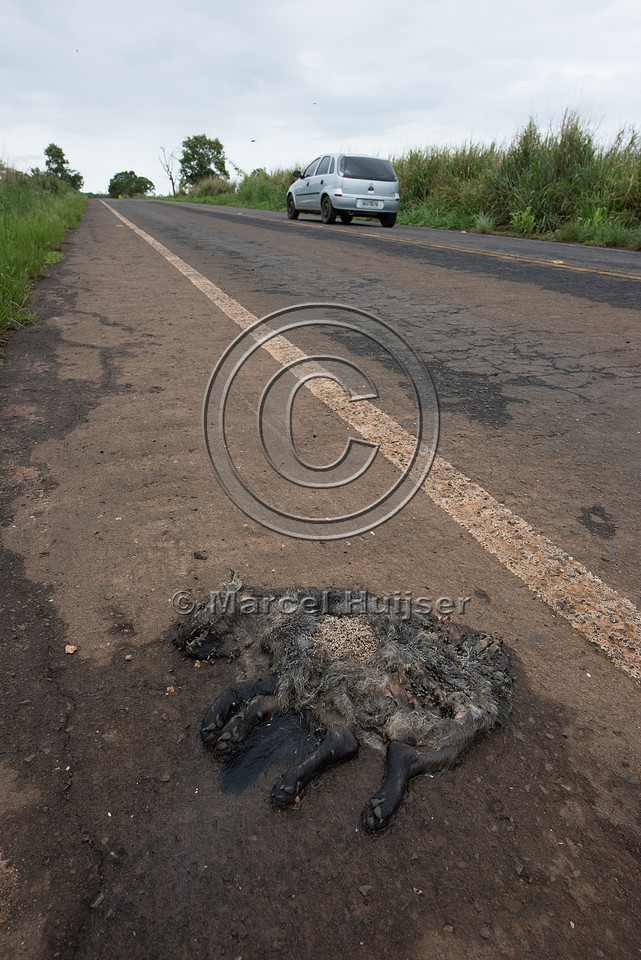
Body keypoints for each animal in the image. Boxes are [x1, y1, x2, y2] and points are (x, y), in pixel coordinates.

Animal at [173, 574, 511, 832]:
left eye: (201, 605)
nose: (176, 635)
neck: (264, 620)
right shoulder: (300, 677)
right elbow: (262, 701)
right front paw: (230, 731)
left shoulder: (302, 661)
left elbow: (242, 689)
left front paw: (217, 721)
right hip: (344, 691)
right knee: (349, 740)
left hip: (446, 700)